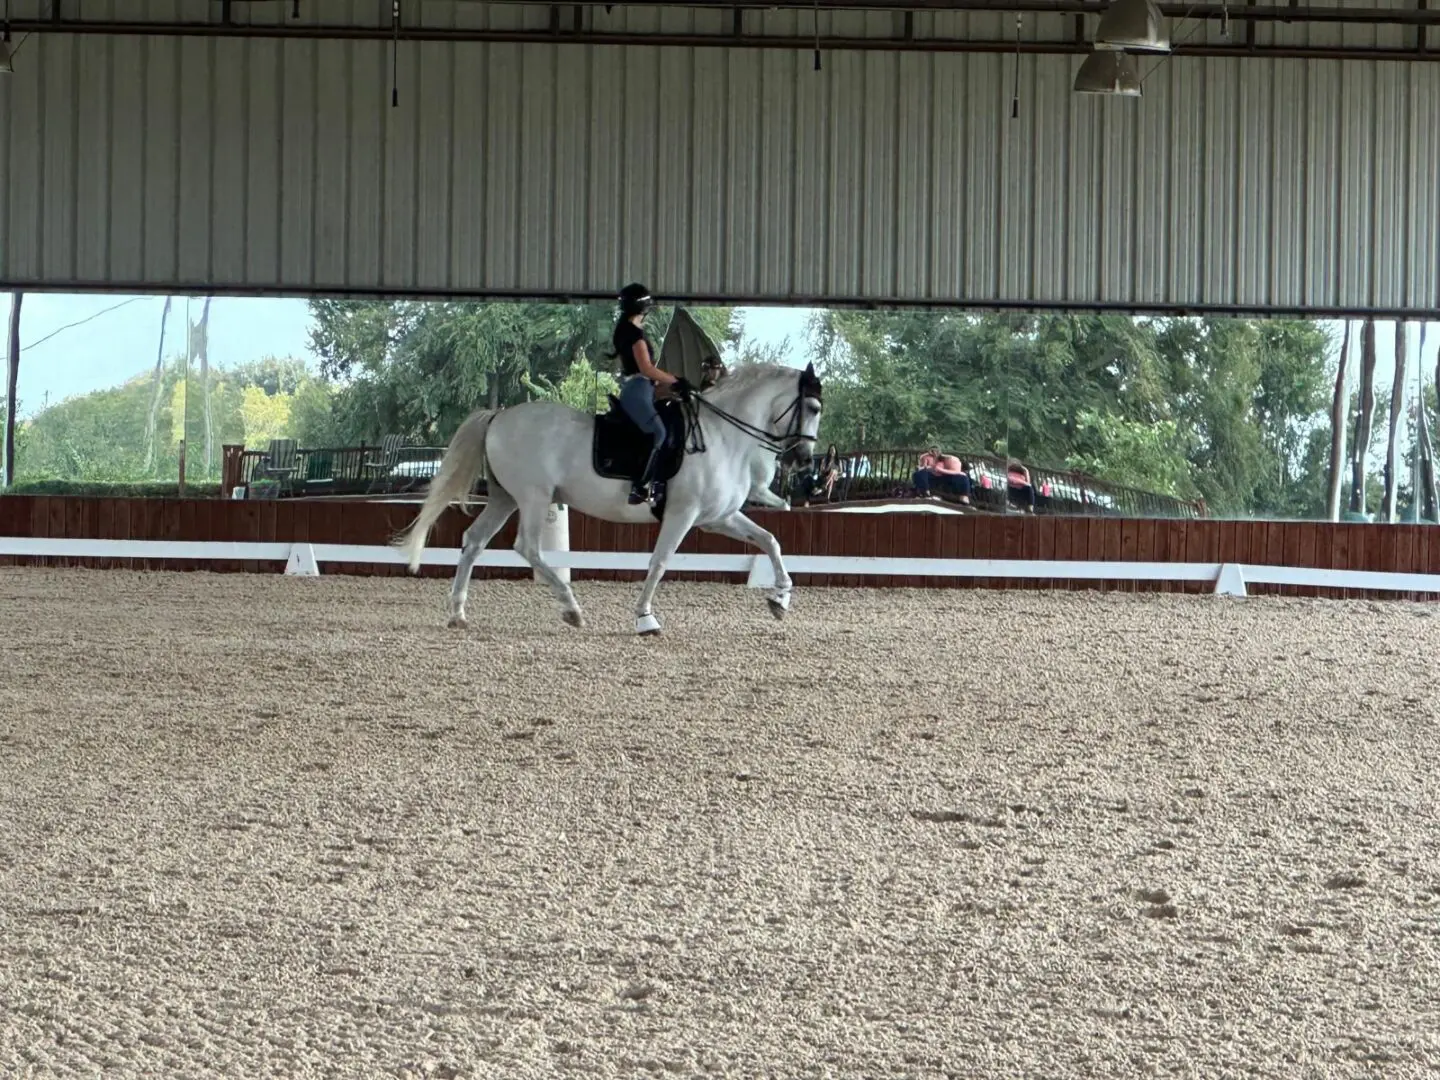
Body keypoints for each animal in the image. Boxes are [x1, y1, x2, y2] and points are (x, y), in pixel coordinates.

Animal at [391, 364, 823, 633]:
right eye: (814, 406)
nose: (803, 459)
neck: (721, 436)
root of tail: (499, 415)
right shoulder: (683, 515)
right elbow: (660, 562)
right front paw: (645, 619)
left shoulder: (717, 517)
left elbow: (770, 540)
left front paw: (780, 600)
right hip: (533, 497)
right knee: (526, 547)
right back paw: (571, 609)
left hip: (505, 498)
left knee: (474, 542)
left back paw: (458, 614)